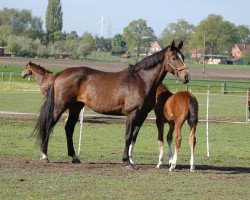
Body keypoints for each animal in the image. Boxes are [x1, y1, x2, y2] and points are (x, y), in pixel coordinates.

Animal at [35, 41, 190, 169]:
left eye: (183, 57)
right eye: (174, 58)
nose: (186, 76)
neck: (141, 81)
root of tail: (60, 74)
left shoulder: (142, 115)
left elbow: (133, 137)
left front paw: (130, 159)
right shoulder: (132, 113)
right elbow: (127, 136)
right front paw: (127, 162)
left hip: (76, 107)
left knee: (69, 129)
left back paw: (74, 157)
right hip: (60, 106)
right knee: (49, 125)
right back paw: (44, 155)